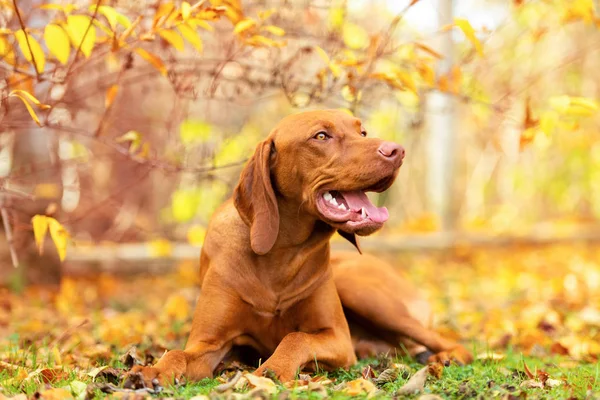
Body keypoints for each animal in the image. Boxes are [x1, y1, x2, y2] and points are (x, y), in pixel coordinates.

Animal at [127, 109, 474, 388]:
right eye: (321, 136)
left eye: (361, 132)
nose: (397, 150)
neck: (279, 255)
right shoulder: (210, 343)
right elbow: (177, 353)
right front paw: (152, 372)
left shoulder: (337, 338)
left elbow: (296, 338)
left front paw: (273, 369)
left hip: (363, 291)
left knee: (451, 344)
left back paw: (444, 357)